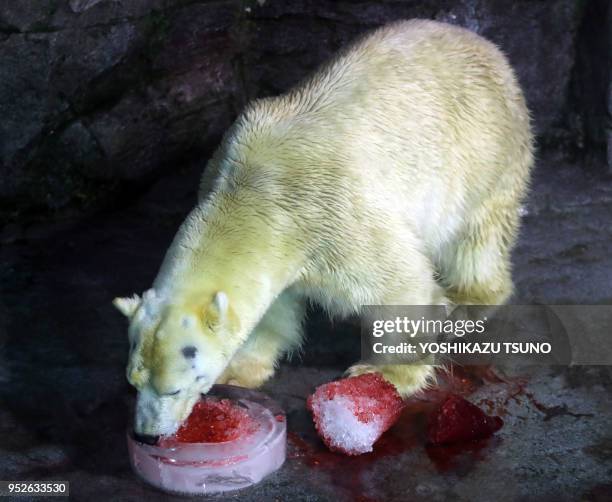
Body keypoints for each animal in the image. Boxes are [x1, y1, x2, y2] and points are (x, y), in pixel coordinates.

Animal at [112, 18, 532, 440]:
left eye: (174, 388)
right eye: (133, 382)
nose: (146, 434)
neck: (256, 193)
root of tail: (483, 45)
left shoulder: (334, 213)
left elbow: (400, 284)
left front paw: (382, 374)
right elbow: (274, 308)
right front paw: (240, 368)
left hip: (481, 149)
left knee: (475, 236)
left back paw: (467, 301)